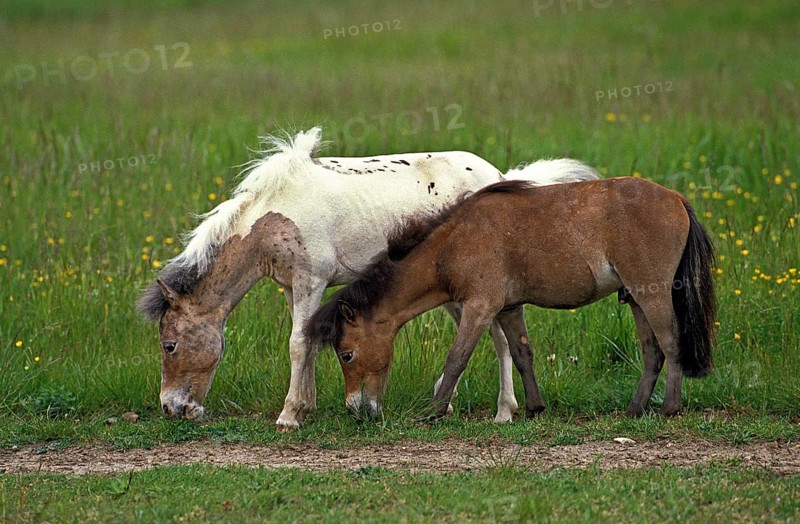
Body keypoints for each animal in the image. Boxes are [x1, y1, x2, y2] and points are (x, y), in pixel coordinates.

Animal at [137, 127, 599, 429]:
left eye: (168, 344)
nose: (171, 409)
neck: (272, 214)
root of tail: (500, 177)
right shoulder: (292, 287)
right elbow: (306, 341)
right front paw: (307, 407)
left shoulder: (312, 280)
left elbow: (297, 343)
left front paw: (288, 416)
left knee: (500, 340)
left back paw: (504, 412)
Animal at [305, 177, 716, 420]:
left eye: (347, 354)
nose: (356, 410)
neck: (452, 244)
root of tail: (677, 198)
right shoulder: (508, 308)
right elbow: (521, 355)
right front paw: (534, 407)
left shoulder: (480, 307)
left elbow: (457, 359)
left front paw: (434, 411)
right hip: (635, 300)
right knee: (652, 352)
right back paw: (634, 408)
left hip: (652, 294)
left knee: (670, 344)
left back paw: (669, 408)